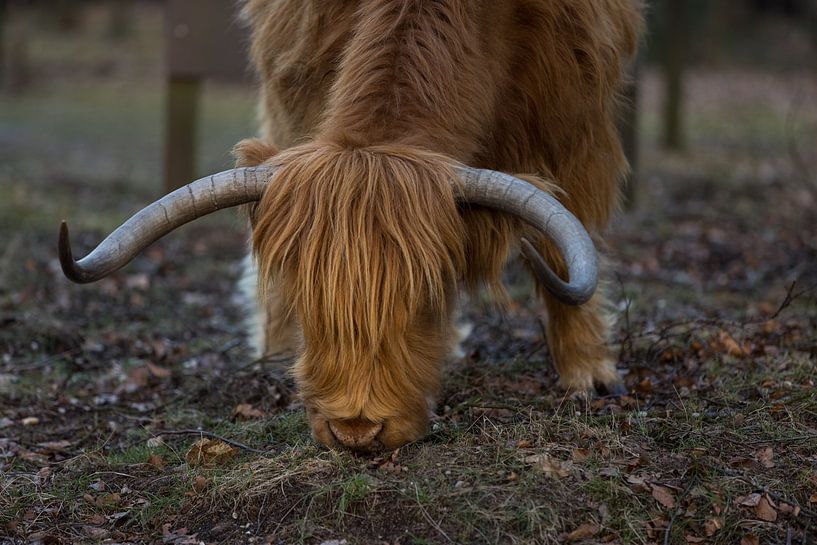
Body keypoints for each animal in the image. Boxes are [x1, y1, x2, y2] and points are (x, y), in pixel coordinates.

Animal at [57, 1, 644, 450]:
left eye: (428, 298)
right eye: (308, 299)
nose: (356, 431)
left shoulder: (574, 116)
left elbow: (564, 240)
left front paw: (588, 371)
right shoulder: (300, 75)